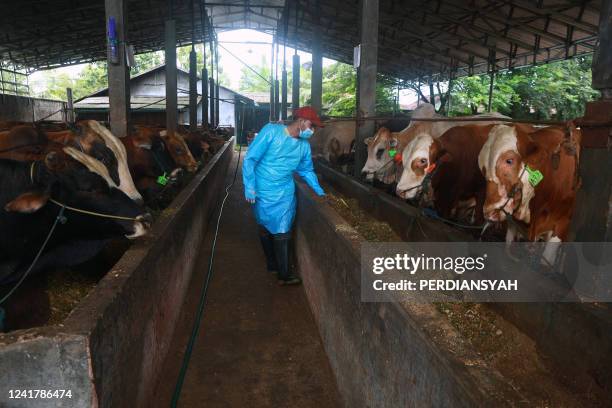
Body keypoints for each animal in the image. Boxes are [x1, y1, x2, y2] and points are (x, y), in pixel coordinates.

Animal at [476, 123, 580, 264]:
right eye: (482, 167)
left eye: (509, 160)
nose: (490, 212)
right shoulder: (514, 222)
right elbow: (509, 249)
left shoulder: (562, 223)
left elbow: (545, 262)